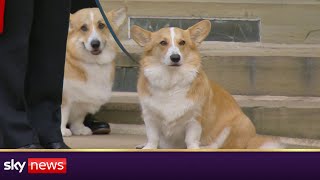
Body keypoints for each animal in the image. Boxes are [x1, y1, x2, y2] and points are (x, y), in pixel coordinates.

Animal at [61, 7, 127, 136]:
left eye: (101, 25)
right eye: (83, 28)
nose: (95, 44)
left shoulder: (83, 98)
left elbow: (78, 118)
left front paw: (79, 129)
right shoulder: (64, 98)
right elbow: (63, 114)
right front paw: (61, 130)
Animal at [130, 20, 282, 148]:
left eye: (182, 42)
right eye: (162, 42)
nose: (175, 57)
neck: (171, 82)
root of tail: (253, 138)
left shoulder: (195, 119)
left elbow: (191, 140)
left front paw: (193, 148)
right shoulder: (150, 117)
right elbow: (153, 138)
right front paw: (148, 147)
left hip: (240, 123)